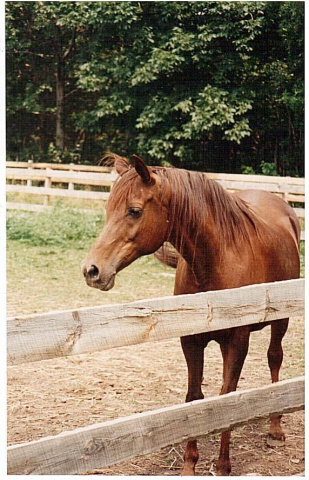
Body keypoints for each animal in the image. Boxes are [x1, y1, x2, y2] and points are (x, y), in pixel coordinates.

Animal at [81, 155, 298, 476]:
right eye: (108, 210)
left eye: (134, 211)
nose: (91, 270)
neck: (217, 259)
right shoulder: (191, 341)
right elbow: (195, 398)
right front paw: (189, 465)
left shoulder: (237, 341)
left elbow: (227, 396)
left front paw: (223, 464)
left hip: (281, 322)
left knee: (274, 360)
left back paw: (275, 428)